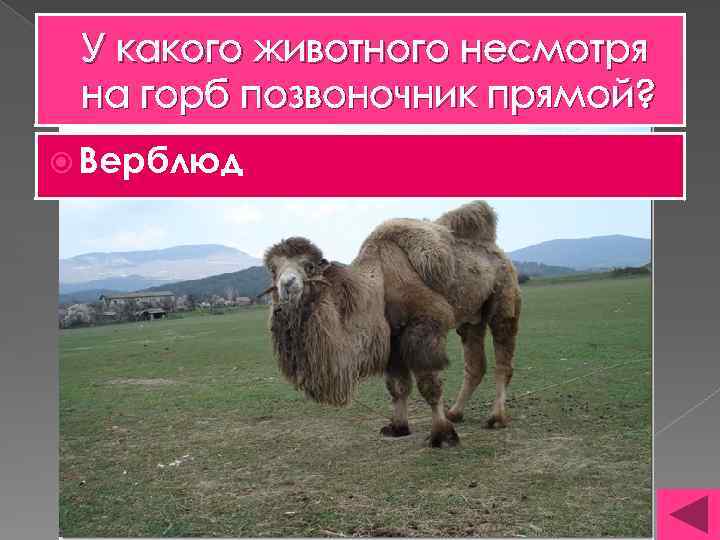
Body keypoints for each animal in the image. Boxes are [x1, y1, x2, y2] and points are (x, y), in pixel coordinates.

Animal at [264, 201, 521, 448]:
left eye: (309, 266)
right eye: (273, 269)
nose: (287, 284)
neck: (378, 287)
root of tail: (497, 250)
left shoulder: (425, 325)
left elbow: (429, 385)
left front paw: (442, 435)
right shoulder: (393, 339)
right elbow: (397, 386)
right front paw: (398, 427)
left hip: (504, 297)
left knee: (502, 359)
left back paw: (496, 418)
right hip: (471, 318)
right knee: (475, 364)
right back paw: (455, 413)